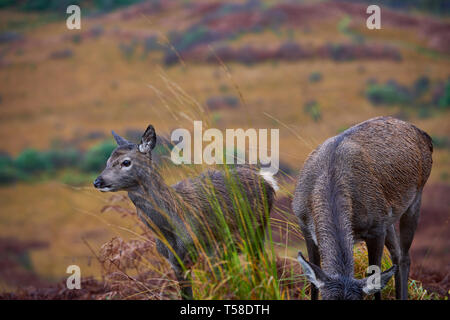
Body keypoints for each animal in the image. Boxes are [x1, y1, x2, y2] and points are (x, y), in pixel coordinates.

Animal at [94, 124, 278, 298]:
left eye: (125, 162)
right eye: (107, 161)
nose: (98, 181)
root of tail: (267, 180)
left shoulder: (211, 251)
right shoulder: (177, 263)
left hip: (256, 232)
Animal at [292, 117, 432, 300]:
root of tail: (425, 136)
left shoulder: (375, 230)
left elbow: (375, 279)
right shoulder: (304, 226)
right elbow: (313, 284)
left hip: (415, 198)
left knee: (404, 256)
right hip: (388, 218)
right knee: (396, 253)